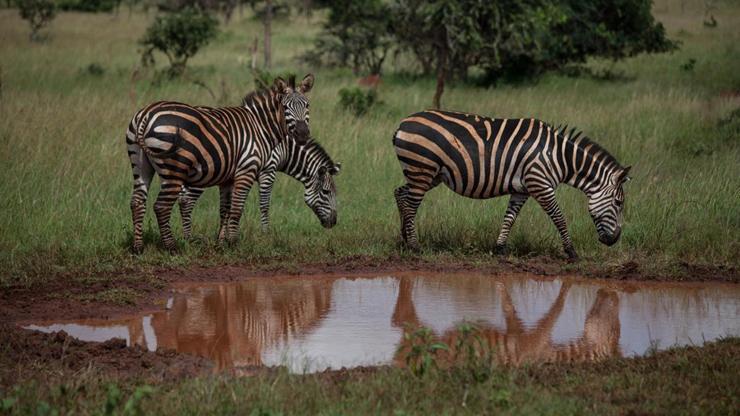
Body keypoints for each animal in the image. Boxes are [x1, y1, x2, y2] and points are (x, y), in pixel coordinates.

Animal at [125, 74, 316, 254]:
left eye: (307, 105)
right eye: (286, 107)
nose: (302, 134)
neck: (260, 127)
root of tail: (146, 114)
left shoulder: (228, 178)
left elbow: (225, 210)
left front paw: (222, 243)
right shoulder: (247, 169)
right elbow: (238, 208)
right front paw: (234, 243)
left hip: (140, 163)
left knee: (137, 202)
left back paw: (138, 248)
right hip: (174, 169)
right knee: (161, 207)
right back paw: (172, 248)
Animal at [178, 137, 342, 237]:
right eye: (326, 192)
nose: (334, 222)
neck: (283, 150)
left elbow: (229, 207)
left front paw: (225, 236)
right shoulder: (267, 172)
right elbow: (264, 205)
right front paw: (265, 235)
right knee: (186, 201)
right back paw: (188, 238)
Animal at [394, 110, 632, 260]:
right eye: (618, 203)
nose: (614, 240)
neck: (558, 157)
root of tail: (402, 123)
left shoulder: (522, 190)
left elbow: (510, 217)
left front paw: (500, 249)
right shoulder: (540, 184)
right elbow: (559, 217)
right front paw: (571, 252)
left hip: (428, 174)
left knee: (400, 194)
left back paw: (404, 240)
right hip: (422, 168)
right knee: (411, 205)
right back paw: (414, 246)